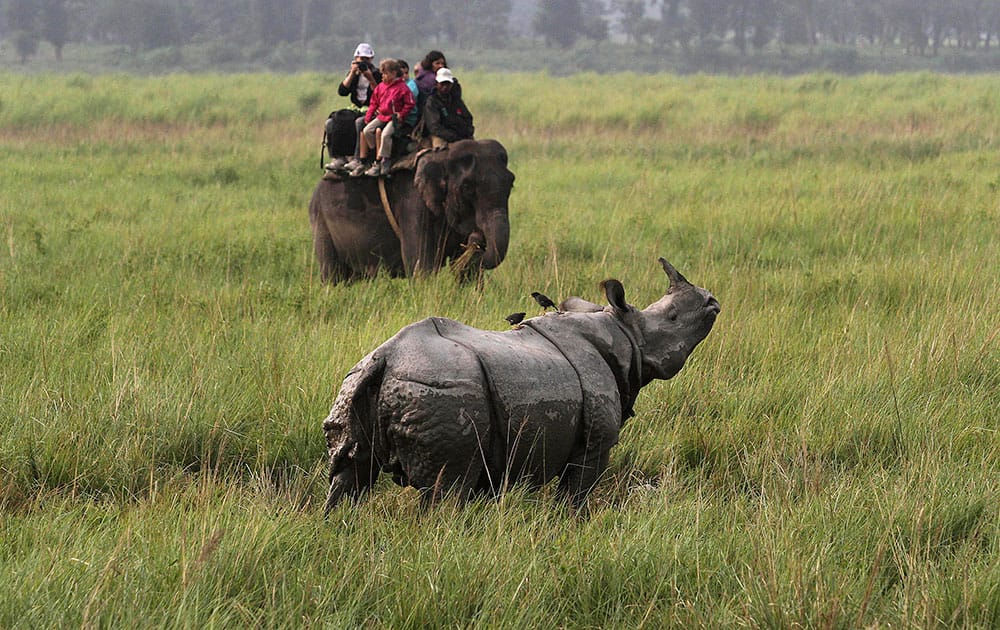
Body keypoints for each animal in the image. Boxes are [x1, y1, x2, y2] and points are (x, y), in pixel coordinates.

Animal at [306, 141, 516, 286]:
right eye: (466, 188)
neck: (444, 155)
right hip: (320, 221)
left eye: (511, 183)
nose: (477, 238)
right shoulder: (412, 203)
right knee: (332, 276)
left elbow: (467, 273)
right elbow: (420, 264)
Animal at [320, 256, 720, 512]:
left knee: (348, 476)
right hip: (441, 390)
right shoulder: (593, 444)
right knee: (444, 492)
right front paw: (571, 528)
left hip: (357, 383)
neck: (625, 334)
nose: (711, 300)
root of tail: (386, 358)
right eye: (671, 317)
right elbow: (576, 495)